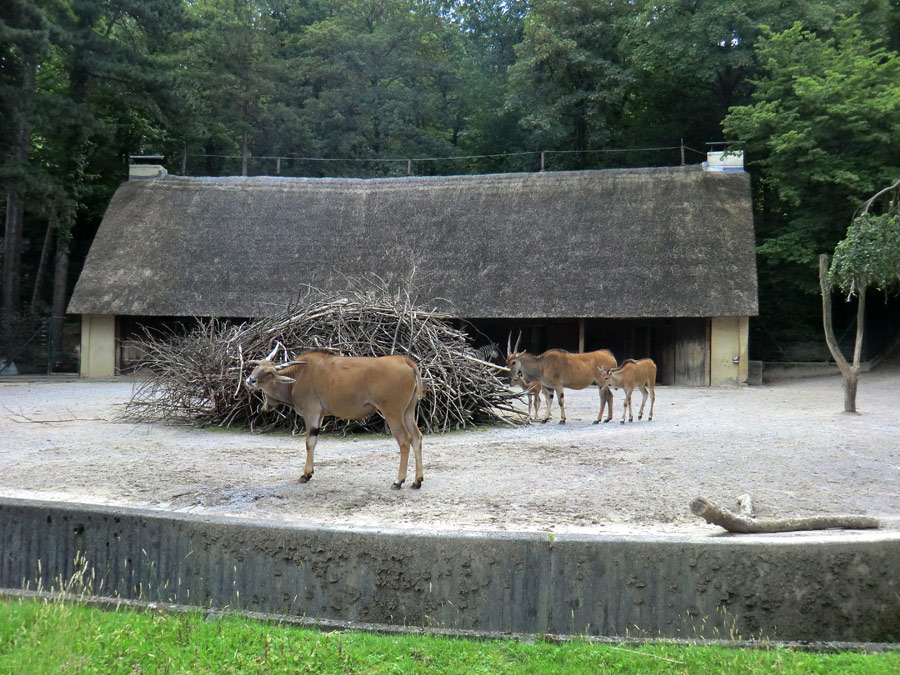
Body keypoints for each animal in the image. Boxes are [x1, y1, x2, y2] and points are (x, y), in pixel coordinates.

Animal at [243, 346, 426, 488]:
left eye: (269, 372)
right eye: (257, 366)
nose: (250, 380)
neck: (299, 375)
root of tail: (406, 361)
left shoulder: (311, 413)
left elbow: (309, 442)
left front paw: (305, 475)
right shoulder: (320, 415)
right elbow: (314, 441)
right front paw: (310, 472)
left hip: (392, 412)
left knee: (405, 440)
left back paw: (398, 481)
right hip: (408, 412)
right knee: (417, 437)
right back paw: (417, 481)